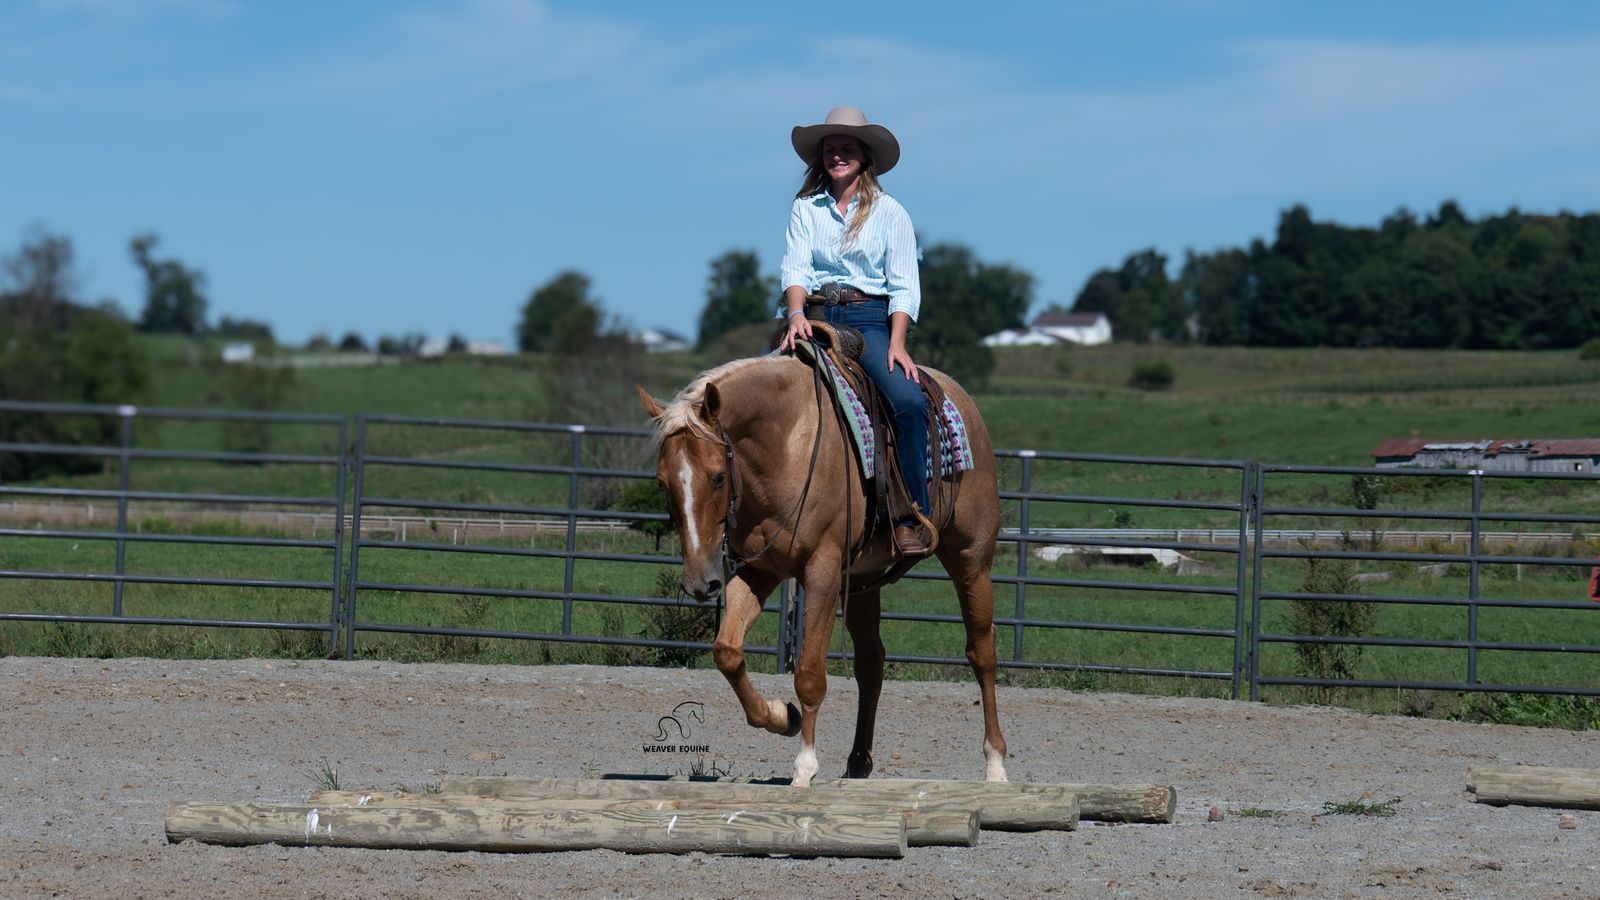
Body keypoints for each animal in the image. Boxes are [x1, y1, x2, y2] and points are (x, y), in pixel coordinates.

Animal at [637, 352, 1007, 787]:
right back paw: (858, 762)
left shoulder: (822, 573)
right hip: (864, 581)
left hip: (971, 560)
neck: (786, 447)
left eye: (717, 477)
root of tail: (960, 397)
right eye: (662, 483)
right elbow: (727, 651)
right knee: (870, 662)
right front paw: (783, 716)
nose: (700, 582)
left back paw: (995, 764)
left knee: (982, 653)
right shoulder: (757, 571)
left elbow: (810, 675)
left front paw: (804, 768)